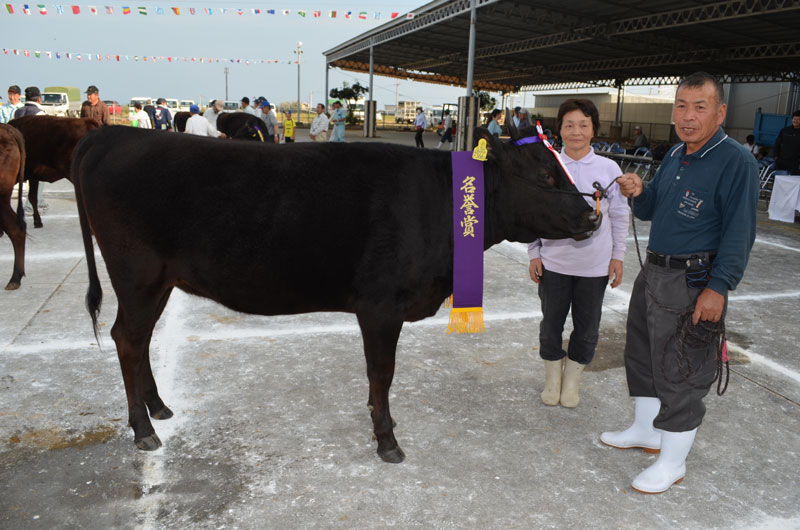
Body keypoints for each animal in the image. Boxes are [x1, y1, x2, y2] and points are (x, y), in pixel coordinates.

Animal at [72, 121, 600, 460]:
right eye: (546, 174)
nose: (592, 214)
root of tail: (110, 134)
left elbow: (377, 377)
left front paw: (381, 424)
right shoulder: (381, 306)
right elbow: (382, 373)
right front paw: (387, 439)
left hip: (159, 281)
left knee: (138, 340)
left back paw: (158, 408)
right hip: (138, 275)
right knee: (127, 340)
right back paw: (143, 429)